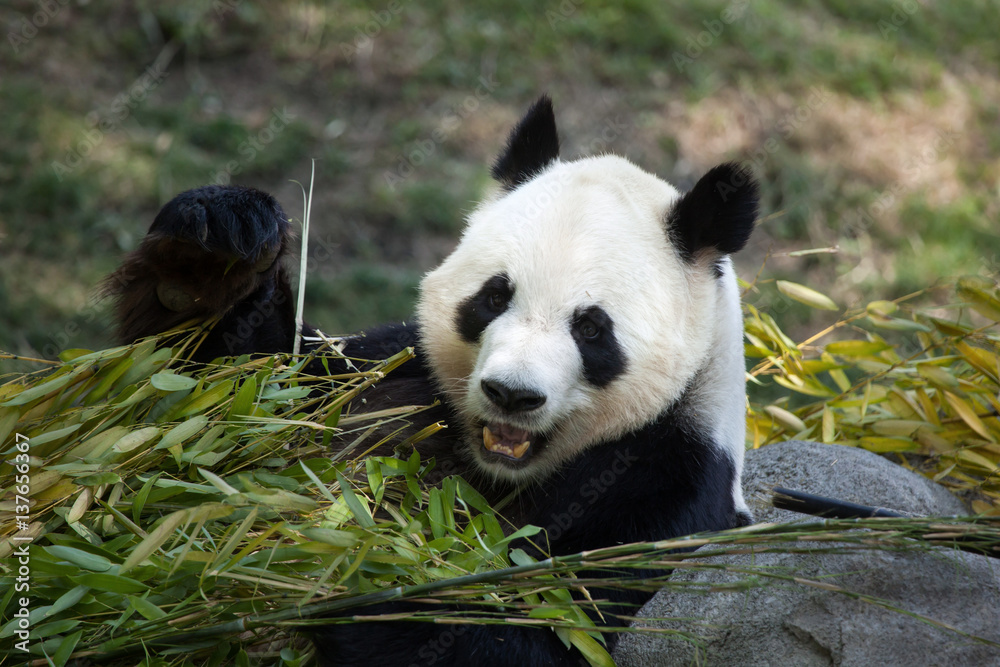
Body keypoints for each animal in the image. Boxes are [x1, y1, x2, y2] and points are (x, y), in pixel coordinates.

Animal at [105, 96, 758, 666]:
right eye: (494, 296)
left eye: (592, 328)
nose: (511, 394)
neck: (497, 466)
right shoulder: (391, 373)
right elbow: (227, 389)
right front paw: (212, 253)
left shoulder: (665, 489)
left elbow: (547, 633)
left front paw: (360, 578)